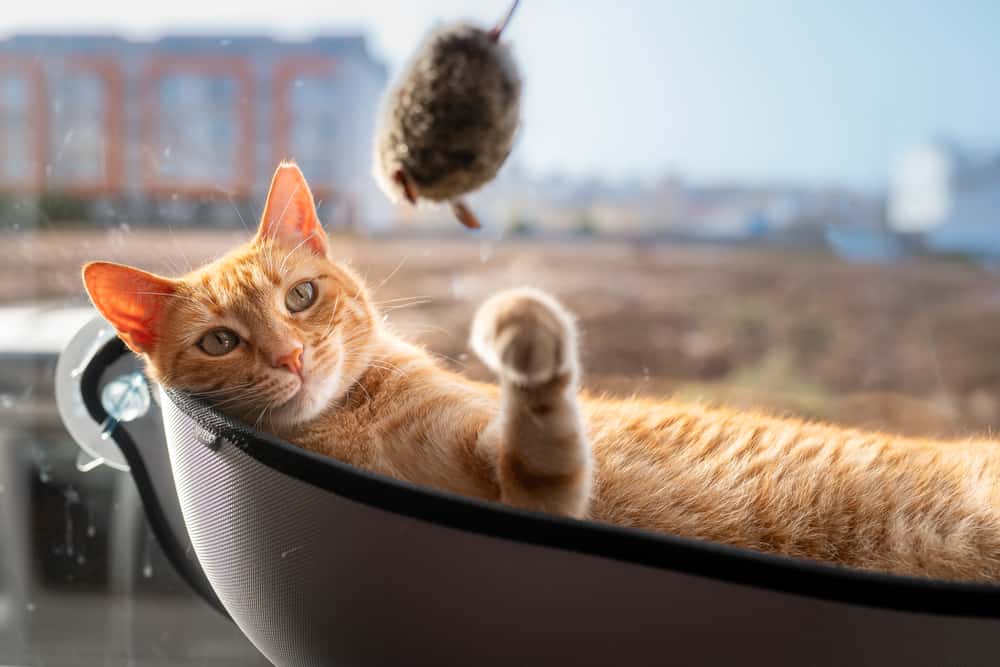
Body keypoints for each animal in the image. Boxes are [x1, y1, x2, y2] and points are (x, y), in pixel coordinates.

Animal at [82, 164, 1000, 580]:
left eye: (301, 296)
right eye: (221, 341)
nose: (290, 356)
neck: (351, 419)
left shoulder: (532, 488)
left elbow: (531, 428)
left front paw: (527, 335)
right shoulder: (538, 493)